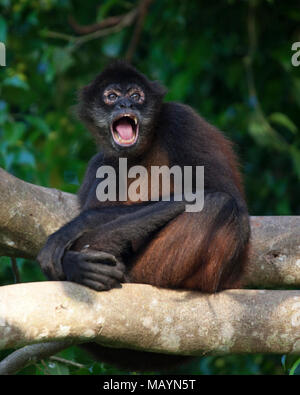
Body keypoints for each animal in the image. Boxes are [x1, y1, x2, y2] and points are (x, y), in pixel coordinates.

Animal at [36, 60, 250, 372]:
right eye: (111, 96)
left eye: (136, 95)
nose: (125, 104)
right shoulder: (96, 163)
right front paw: (74, 263)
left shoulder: (181, 120)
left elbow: (223, 194)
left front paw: (75, 233)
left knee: (219, 205)